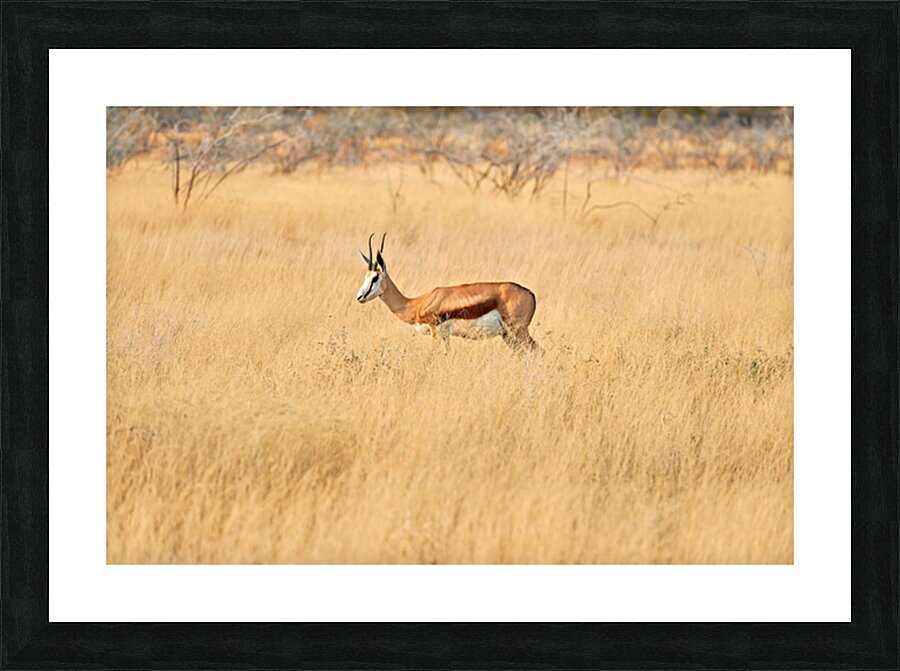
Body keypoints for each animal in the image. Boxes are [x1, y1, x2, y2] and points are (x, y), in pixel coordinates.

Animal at [355, 234, 540, 352]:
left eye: (375, 278)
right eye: (365, 276)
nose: (360, 297)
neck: (416, 303)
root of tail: (530, 293)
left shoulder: (436, 331)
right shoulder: (445, 336)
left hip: (518, 331)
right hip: (507, 335)